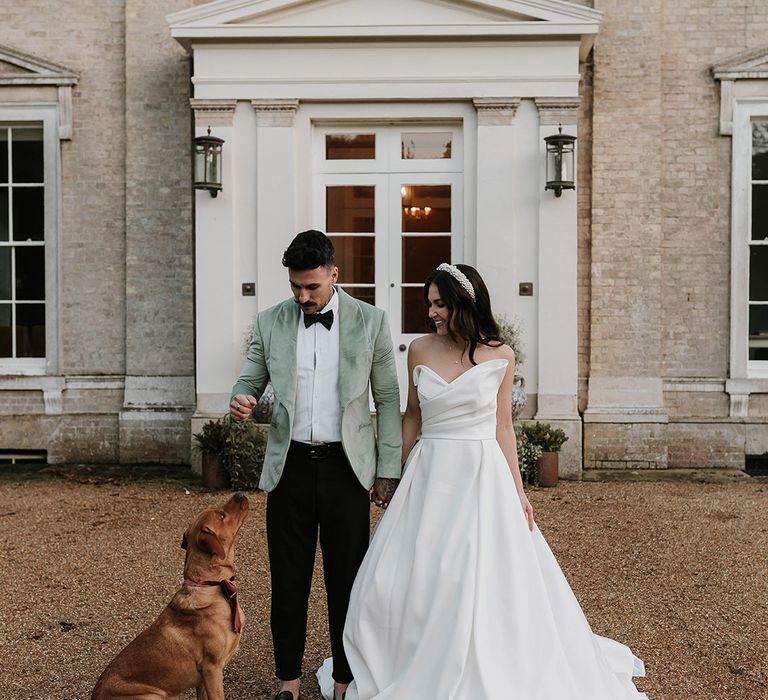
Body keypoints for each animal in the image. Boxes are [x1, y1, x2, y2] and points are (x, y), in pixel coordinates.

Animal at [92, 492, 250, 700]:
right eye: (221, 515)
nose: (239, 493)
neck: (210, 585)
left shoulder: (203, 680)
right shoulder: (212, 669)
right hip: (153, 695)